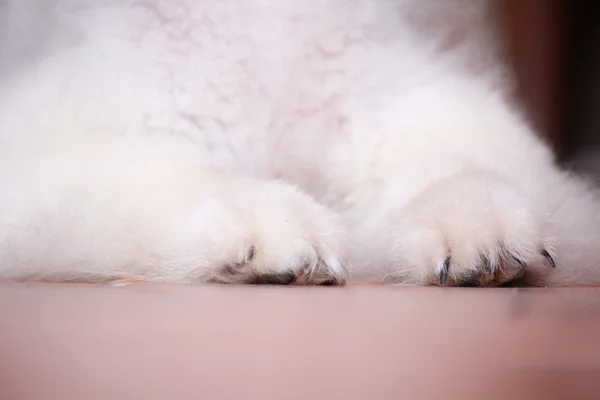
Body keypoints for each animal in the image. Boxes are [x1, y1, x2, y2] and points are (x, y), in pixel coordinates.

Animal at [1, 1, 600, 286]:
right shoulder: (59, 145)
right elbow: (180, 178)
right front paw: (270, 222)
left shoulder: (396, 112)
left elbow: (455, 168)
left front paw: (480, 223)